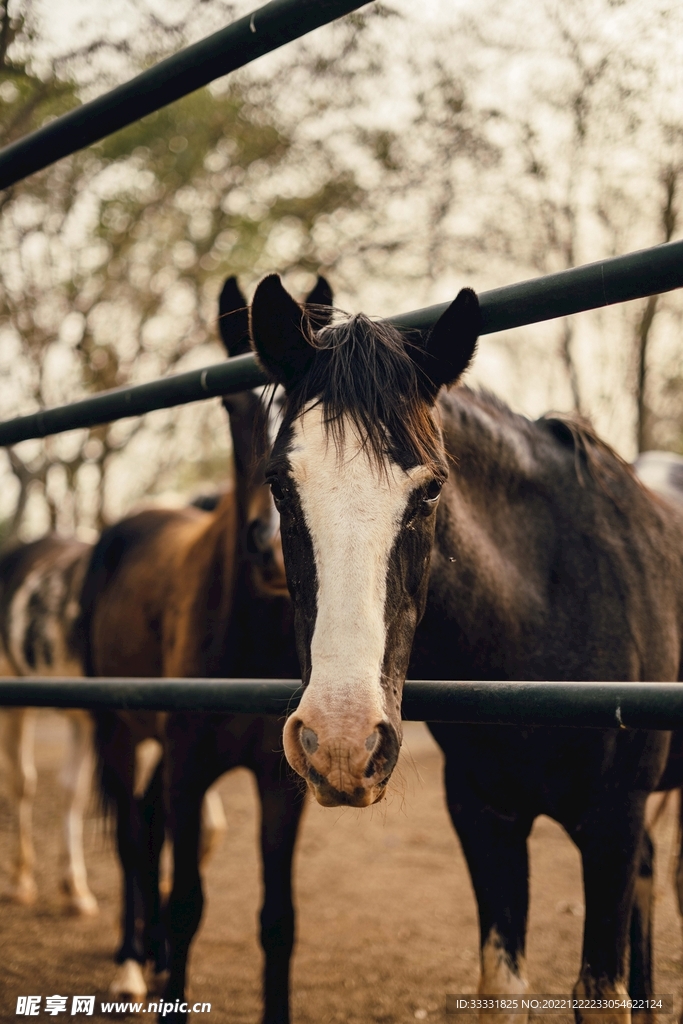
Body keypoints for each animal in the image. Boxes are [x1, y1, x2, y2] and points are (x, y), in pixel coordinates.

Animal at [78, 275, 332, 1022]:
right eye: (228, 403)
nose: (270, 546)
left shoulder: (281, 784)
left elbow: (278, 920)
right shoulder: (191, 766)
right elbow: (189, 900)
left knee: (146, 819)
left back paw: (153, 954)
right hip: (115, 729)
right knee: (131, 831)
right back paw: (133, 962)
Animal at [246, 273, 683, 1024]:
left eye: (429, 491)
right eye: (280, 483)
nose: (341, 744)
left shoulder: (614, 822)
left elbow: (601, 991)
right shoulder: (485, 818)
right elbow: (501, 987)